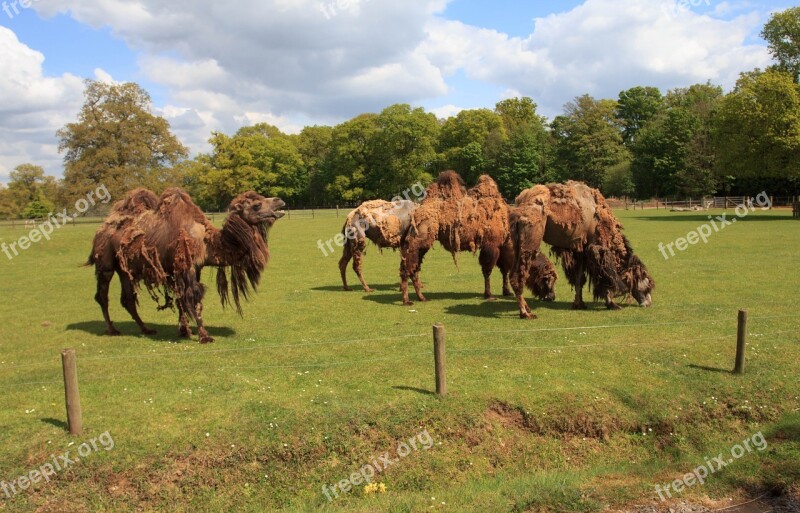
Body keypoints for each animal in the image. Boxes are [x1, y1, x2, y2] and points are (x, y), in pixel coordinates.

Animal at [88, 187, 284, 340]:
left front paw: (183, 331)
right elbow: (193, 298)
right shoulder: (186, 267)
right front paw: (204, 336)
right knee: (102, 295)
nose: (279, 201)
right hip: (105, 263)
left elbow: (182, 299)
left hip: (125, 269)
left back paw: (146, 329)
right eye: (256, 205)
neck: (206, 241)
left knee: (127, 299)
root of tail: (103, 226)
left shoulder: (192, 268)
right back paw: (112, 329)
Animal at [400, 170, 520, 304]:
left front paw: (507, 292)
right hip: (419, 240)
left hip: (420, 245)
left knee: (414, 267)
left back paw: (422, 298)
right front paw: (489, 295)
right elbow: (488, 270)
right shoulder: (491, 245)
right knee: (407, 267)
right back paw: (406, 300)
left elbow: (504, 269)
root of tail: (416, 211)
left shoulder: (501, 247)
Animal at [510, 179, 652, 316]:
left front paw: (579, 304)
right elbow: (604, 277)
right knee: (518, 276)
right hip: (530, 238)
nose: (648, 303)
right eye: (647, 283)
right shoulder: (596, 248)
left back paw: (526, 309)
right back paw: (525, 313)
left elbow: (579, 279)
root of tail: (521, 202)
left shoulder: (580, 250)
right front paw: (612, 304)